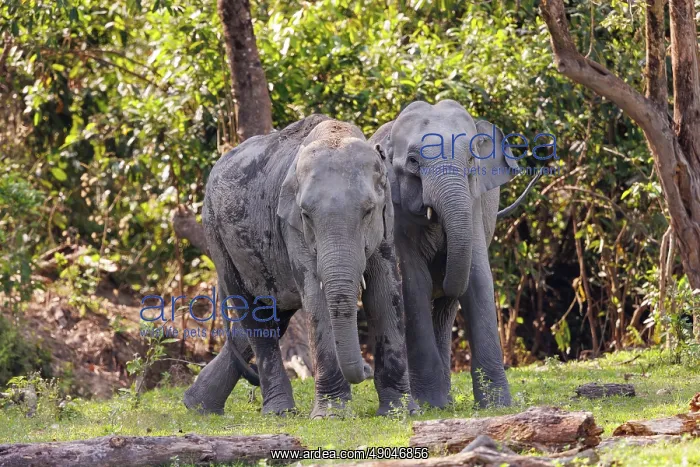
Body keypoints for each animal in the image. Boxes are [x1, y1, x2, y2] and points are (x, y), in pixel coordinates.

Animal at [182, 114, 416, 418]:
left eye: (368, 211)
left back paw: (197, 406)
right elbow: (317, 298)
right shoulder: (292, 227)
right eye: (306, 214)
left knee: (272, 315)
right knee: (255, 319)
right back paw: (277, 412)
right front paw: (331, 416)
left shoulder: (386, 222)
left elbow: (385, 293)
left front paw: (401, 412)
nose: (365, 367)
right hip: (216, 236)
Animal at [368, 99, 541, 408]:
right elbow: (414, 285)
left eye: (471, 160)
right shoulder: (397, 214)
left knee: (446, 310)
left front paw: (497, 405)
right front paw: (430, 404)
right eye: (413, 162)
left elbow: (478, 280)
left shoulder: (473, 205)